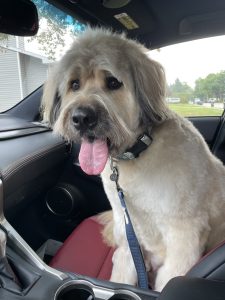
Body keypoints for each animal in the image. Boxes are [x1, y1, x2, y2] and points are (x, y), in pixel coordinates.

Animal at [40, 28, 225, 290]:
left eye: (113, 83)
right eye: (74, 84)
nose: (81, 117)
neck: (137, 153)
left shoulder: (185, 234)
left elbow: (170, 276)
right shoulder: (128, 230)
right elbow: (123, 270)